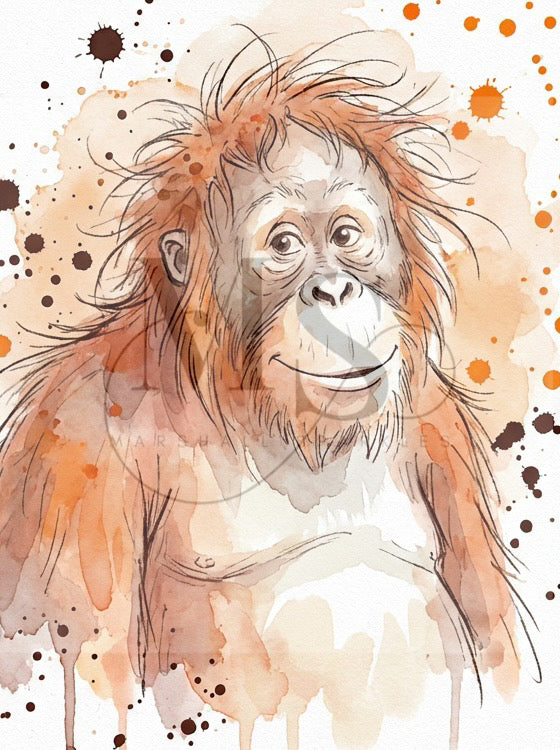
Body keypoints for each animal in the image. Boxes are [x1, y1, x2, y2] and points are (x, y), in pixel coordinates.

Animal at [0, 35, 532, 750]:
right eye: (283, 245)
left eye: (345, 236)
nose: (333, 289)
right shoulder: (76, 449)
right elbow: (89, 671)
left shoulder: (439, 434)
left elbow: (498, 657)